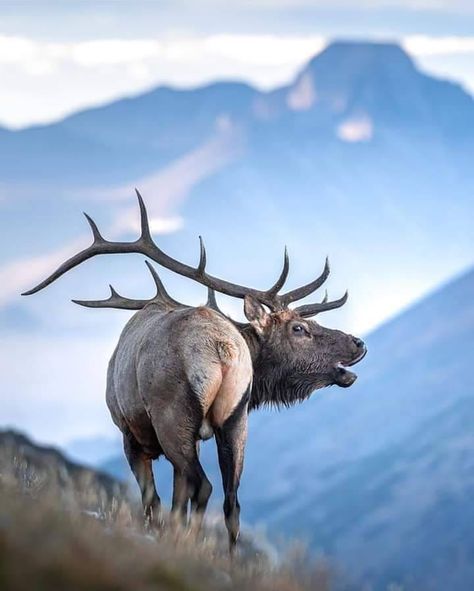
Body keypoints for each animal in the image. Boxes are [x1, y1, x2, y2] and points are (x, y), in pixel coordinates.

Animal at [23, 192, 366, 552]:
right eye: (299, 328)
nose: (358, 342)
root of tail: (222, 348)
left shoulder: (129, 434)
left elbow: (155, 501)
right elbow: (178, 500)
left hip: (171, 417)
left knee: (203, 487)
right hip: (235, 420)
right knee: (231, 500)